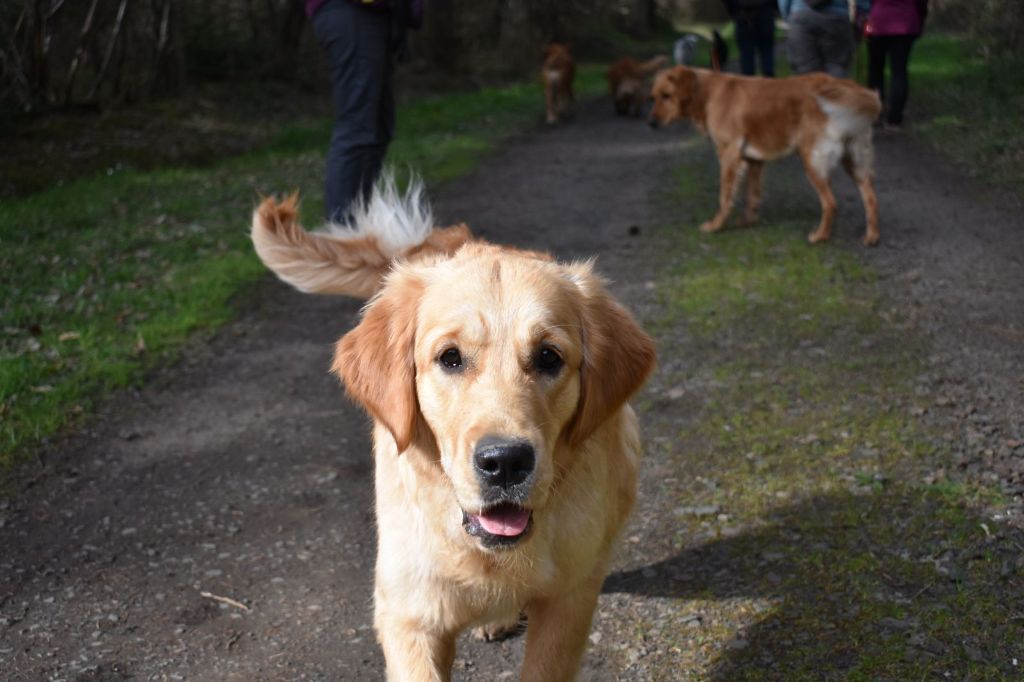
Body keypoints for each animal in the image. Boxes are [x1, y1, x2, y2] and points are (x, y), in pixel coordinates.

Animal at [647, 65, 880, 244]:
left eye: (666, 95)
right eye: (653, 97)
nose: (651, 123)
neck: (707, 94)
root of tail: (847, 85)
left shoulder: (729, 155)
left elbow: (725, 197)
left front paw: (716, 225)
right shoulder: (754, 161)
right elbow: (752, 194)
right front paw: (747, 221)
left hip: (812, 161)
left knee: (831, 203)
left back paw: (820, 236)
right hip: (855, 161)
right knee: (870, 197)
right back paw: (871, 237)